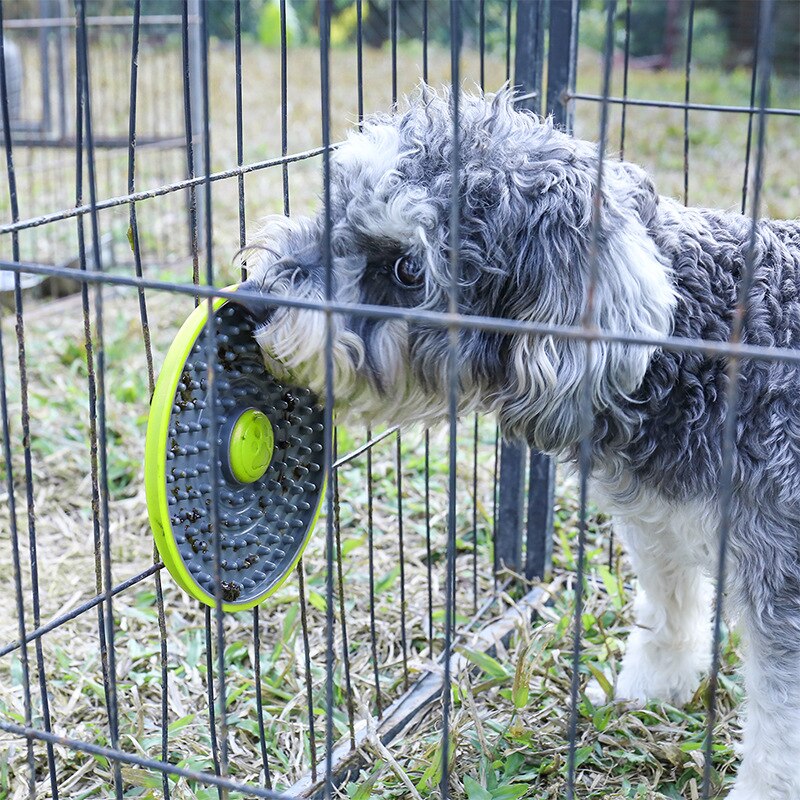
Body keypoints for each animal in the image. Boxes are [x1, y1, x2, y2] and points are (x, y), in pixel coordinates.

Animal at [239, 89, 800, 800]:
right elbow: (670, 614)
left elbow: (779, 731)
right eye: (334, 201)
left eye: (407, 268)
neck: (700, 352)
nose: (250, 300)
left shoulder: (783, 587)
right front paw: (648, 690)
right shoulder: (658, 527)